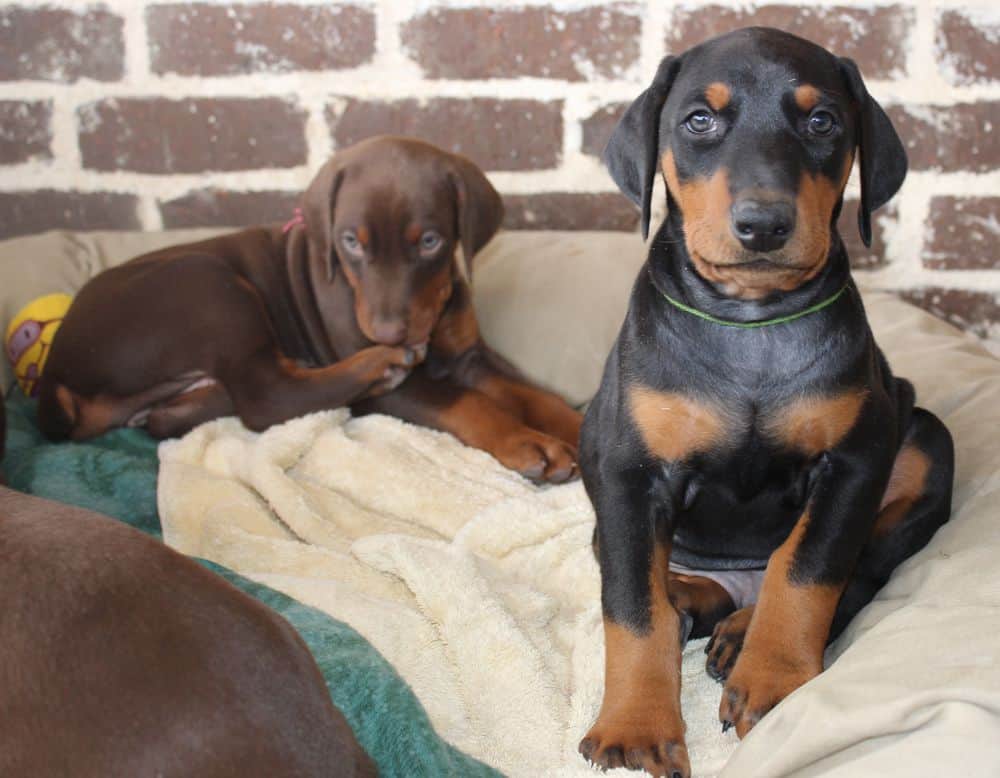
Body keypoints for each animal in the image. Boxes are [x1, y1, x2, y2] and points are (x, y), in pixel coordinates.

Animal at [39, 136, 584, 482]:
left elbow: (540, 396)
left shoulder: (470, 356)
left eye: (429, 241)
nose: (388, 335)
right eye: (351, 242)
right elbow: (468, 403)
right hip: (209, 283)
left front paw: (583, 429)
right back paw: (373, 366)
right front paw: (526, 443)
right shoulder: (402, 389)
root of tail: (53, 367)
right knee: (265, 397)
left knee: (173, 417)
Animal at [584, 27, 956, 772]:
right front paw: (635, 725)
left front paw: (776, 678)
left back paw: (740, 632)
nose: (763, 224)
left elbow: (808, 568)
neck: (751, 322)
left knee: (861, 569)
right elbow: (632, 604)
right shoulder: (628, 471)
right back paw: (690, 596)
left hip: (926, 438)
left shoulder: (854, 461)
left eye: (823, 122)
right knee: (653, 579)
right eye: (699, 120)